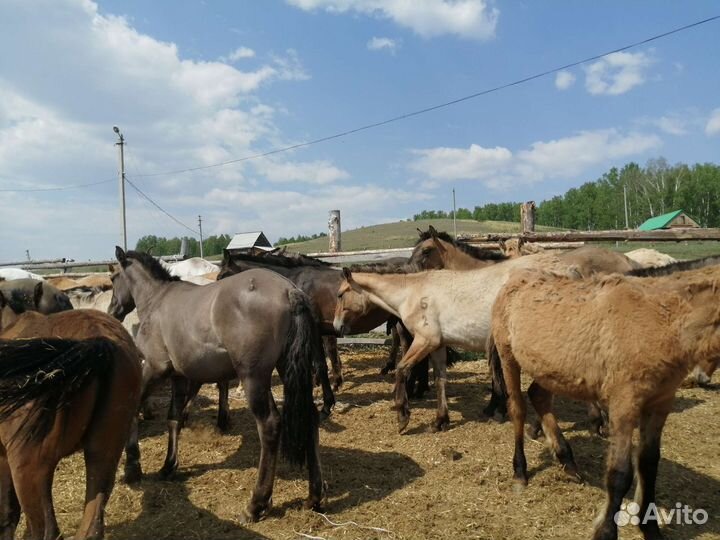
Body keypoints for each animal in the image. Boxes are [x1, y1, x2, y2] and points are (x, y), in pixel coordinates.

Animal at [110, 248, 324, 521]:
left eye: (113, 278)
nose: (113, 311)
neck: (158, 300)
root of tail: (289, 290)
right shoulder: (179, 376)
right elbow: (174, 419)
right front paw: (169, 465)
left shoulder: (155, 368)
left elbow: (134, 408)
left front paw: (132, 467)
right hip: (287, 369)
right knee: (311, 416)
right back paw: (314, 496)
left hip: (253, 377)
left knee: (269, 425)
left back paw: (256, 504)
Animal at [490, 264, 720, 540]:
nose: (703, 377)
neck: (661, 320)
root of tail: (514, 278)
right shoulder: (624, 405)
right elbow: (620, 472)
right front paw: (606, 531)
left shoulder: (660, 404)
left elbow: (649, 463)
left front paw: (650, 528)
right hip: (509, 357)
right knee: (518, 409)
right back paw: (520, 472)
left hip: (549, 369)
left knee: (539, 397)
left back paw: (568, 461)